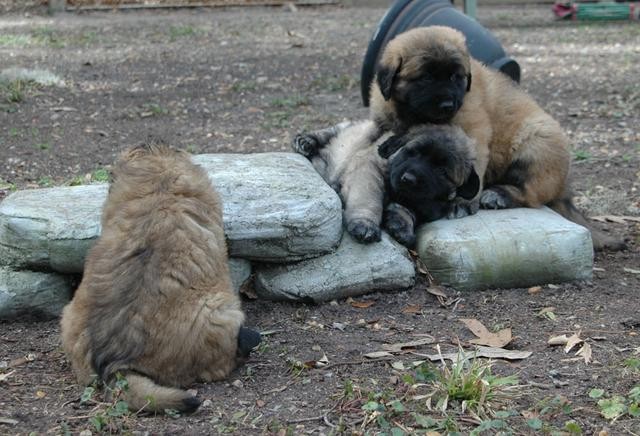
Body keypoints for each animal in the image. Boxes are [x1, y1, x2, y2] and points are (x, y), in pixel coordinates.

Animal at [370, 26, 624, 252]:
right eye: (425, 78)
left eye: (455, 77)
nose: (448, 104)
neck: (412, 113)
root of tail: (563, 187)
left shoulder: (474, 132)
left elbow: (474, 171)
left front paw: (463, 203)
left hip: (535, 142)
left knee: (531, 194)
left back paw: (498, 195)